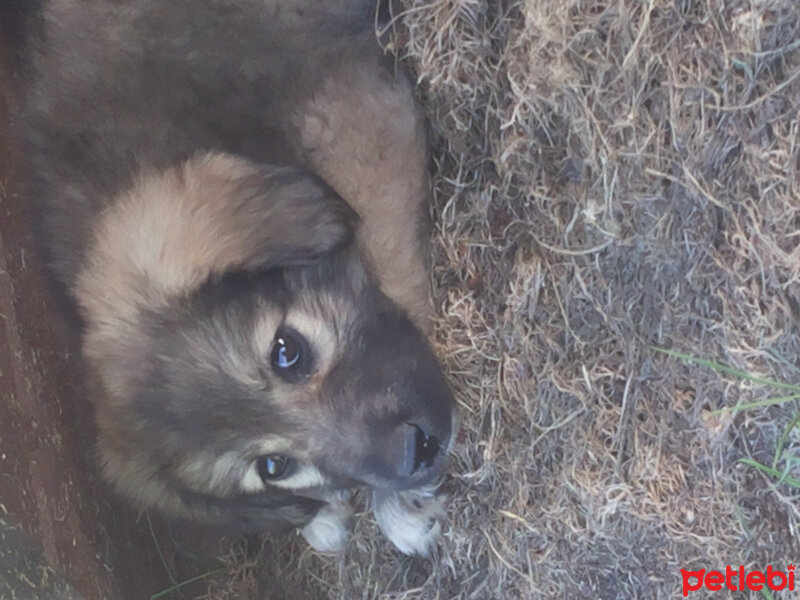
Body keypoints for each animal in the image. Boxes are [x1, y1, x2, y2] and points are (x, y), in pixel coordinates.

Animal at [15, 0, 456, 556]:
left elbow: (390, 266)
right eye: (274, 466)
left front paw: (395, 505)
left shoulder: (362, 119)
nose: (415, 453)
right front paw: (328, 514)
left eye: (287, 351)